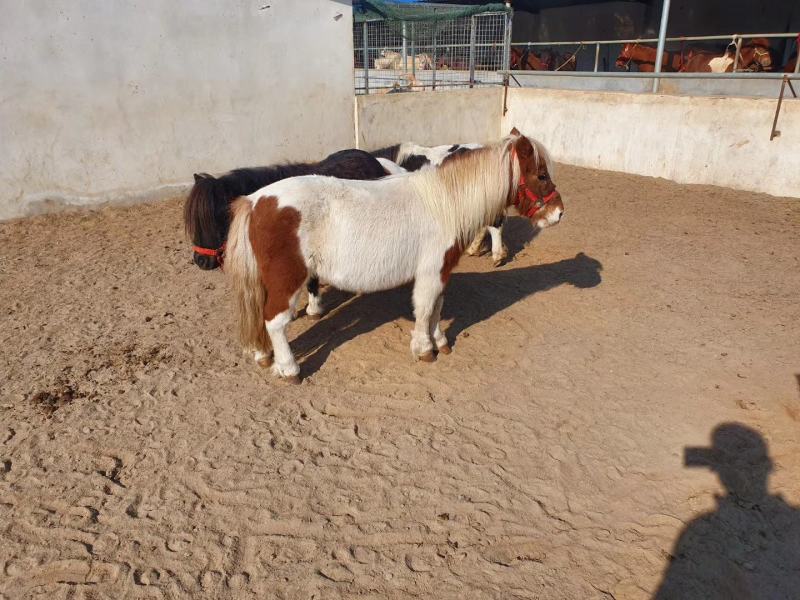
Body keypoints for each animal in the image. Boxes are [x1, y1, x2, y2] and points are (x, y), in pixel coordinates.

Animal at [225, 129, 564, 381]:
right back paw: (289, 369)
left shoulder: (440, 272)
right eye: (541, 175)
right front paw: (425, 349)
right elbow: (425, 309)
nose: (559, 213)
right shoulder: (431, 271)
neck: (445, 203)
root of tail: (255, 200)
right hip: (288, 280)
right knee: (275, 321)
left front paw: (440, 341)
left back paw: (263, 355)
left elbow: (437, 307)